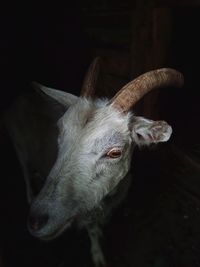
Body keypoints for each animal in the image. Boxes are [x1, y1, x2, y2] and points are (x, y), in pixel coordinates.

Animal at [3, 58, 184, 266]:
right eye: (60, 135)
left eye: (115, 152)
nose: (36, 221)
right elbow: (93, 230)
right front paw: (98, 256)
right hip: (18, 143)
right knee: (24, 169)